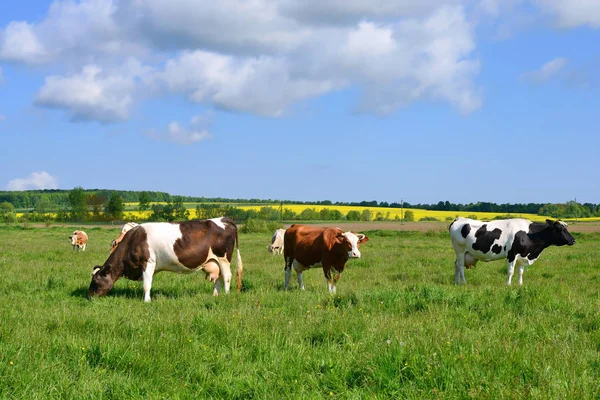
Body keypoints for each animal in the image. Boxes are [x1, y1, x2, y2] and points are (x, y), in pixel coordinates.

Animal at [86, 217, 244, 302]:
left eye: (96, 280)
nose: (89, 296)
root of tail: (223, 219)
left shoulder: (148, 263)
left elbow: (146, 285)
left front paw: (147, 301)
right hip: (214, 260)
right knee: (219, 278)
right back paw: (215, 295)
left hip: (223, 258)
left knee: (227, 277)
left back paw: (226, 295)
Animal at [448, 219, 576, 284]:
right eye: (560, 229)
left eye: (566, 228)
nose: (573, 240)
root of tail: (459, 219)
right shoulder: (512, 254)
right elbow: (510, 271)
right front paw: (508, 285)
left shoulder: (522, 256)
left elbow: (520, 272)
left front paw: (520, 285)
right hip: (459, 250)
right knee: (460, 266)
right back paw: (464, 282)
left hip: (464, 252)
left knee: (455, 265)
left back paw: (457, 282)